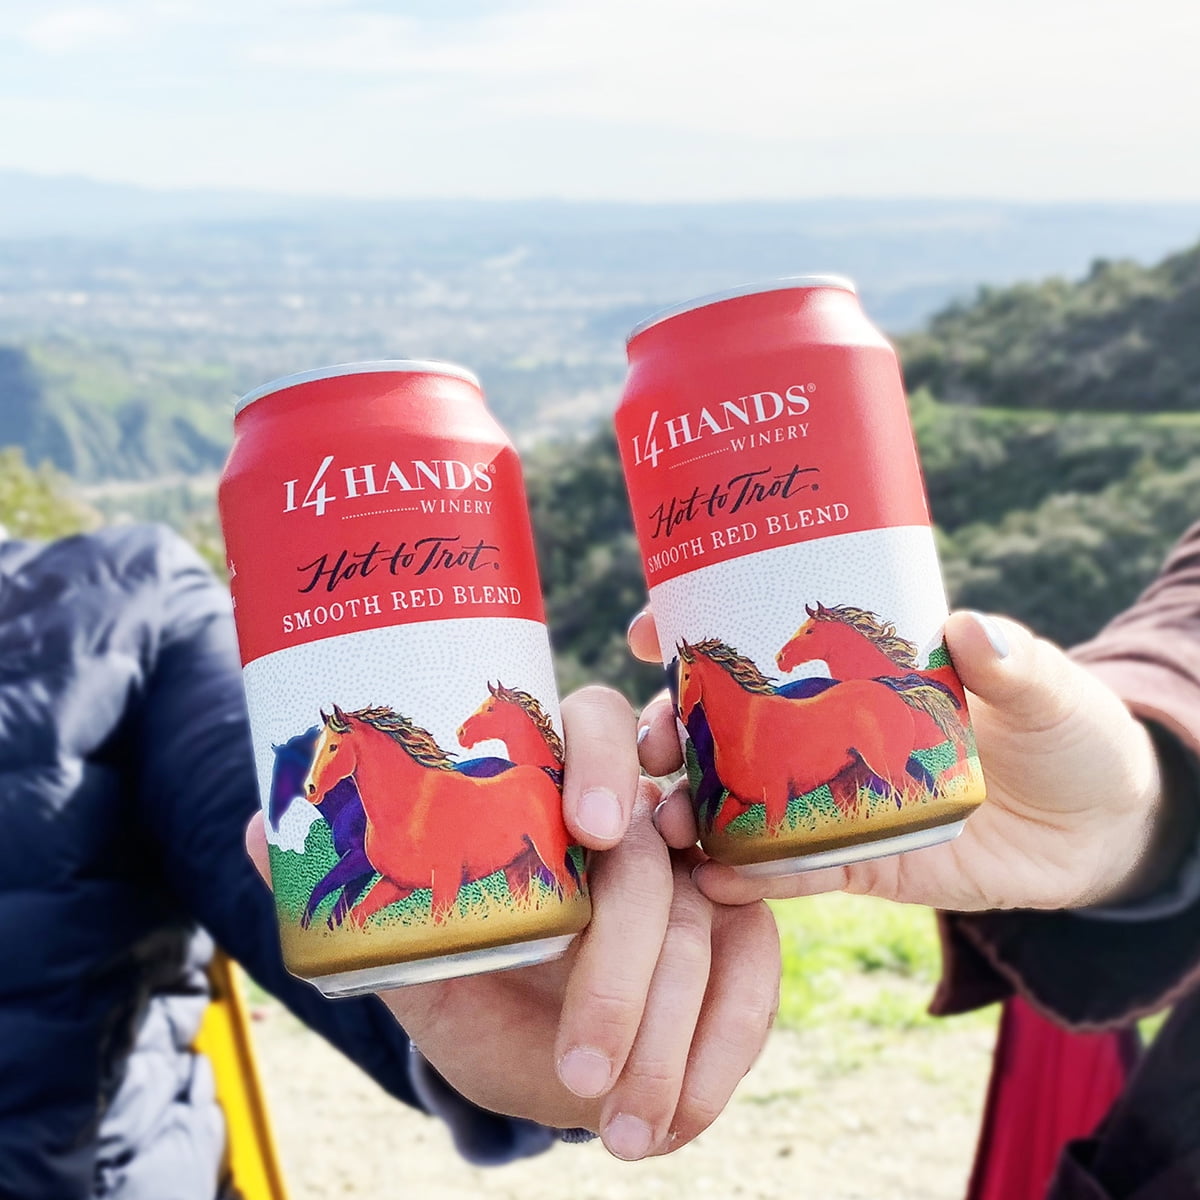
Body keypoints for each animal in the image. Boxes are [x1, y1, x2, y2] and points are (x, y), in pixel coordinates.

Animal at [303, 704, 580, 925]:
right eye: (315, 748)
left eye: (334, 746)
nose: (310, 789)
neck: (409, 808)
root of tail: (542, 773)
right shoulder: (396, 884)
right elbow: (355, 917)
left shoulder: (446, 881)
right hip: (518, 868)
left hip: (548, 857)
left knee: (568, 888)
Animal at [677, 638, 931, 833]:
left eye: (687, 676)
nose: (681, 711)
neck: (745, 728)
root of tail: (890, 689)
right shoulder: (739, 800)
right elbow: (719, 827)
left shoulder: (776, 797)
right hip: (845, 784)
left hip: (885, 768)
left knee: (915, 791)